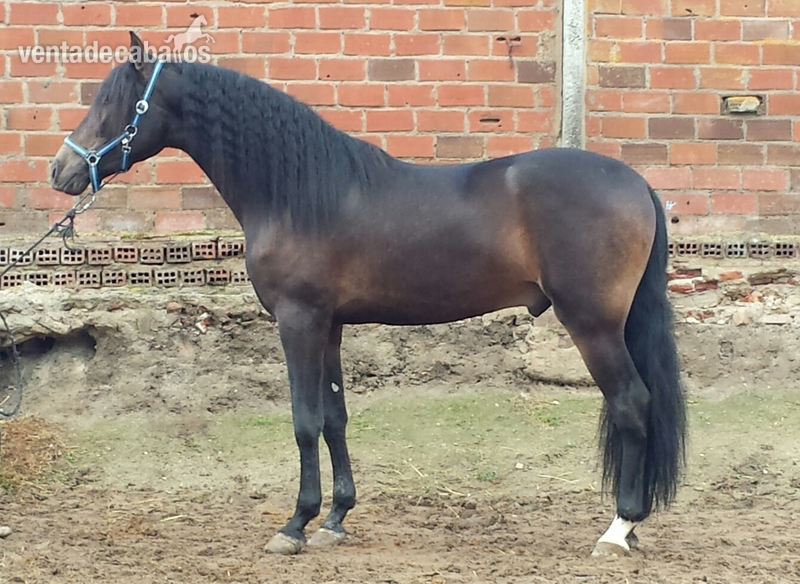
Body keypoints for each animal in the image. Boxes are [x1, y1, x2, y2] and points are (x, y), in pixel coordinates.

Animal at [50, 32, 686, 558]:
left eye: (116, 105)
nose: (61, 172)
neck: (299, 193)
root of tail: (635, 182)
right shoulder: (328, 325)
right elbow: (335, 417)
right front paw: (334, 518)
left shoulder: (298, 321)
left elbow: (304, 419)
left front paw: (294, 525)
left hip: (593, 324)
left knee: (632, 402)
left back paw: (619, 530)